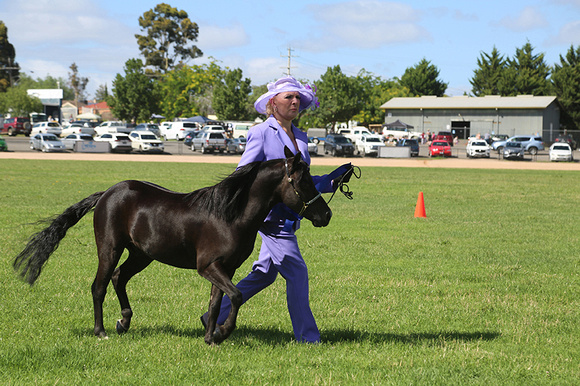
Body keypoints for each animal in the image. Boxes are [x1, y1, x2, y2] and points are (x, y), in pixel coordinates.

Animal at [13, 149, 330, 346]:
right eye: (304, 182)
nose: (325, 215)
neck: (229, 214)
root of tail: (106, 194)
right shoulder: (208, 266)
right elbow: (237, 296)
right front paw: (222, 333)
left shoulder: (224, 269)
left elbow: (217, 302)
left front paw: (210, 337)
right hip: (110, 249)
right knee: (99, 286)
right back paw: (101, 331)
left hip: (141, 255)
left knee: (118, 278)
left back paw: (124, 322)